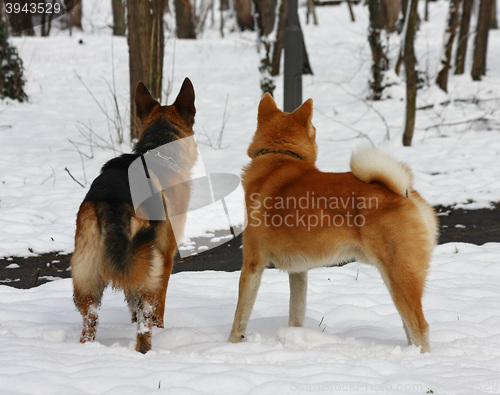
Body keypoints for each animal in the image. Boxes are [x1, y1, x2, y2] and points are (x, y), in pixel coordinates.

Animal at [71, 79, 198, 354]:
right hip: (150, 266)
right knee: (144, 323)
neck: (156, 149)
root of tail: (111, 201)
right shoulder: (166, 256)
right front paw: (163, 329)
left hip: (87, 276)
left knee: (90, 321)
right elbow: (160, 307)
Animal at [229, 93, 436, 352]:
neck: (278, 158)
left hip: (399, 276)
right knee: (409, 326)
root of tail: (405, 192)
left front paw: (230, 345)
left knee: (420, 326)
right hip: (394, 278)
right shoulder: (299, 270)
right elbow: (295, 313)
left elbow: (240, 316)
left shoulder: (252, 264)